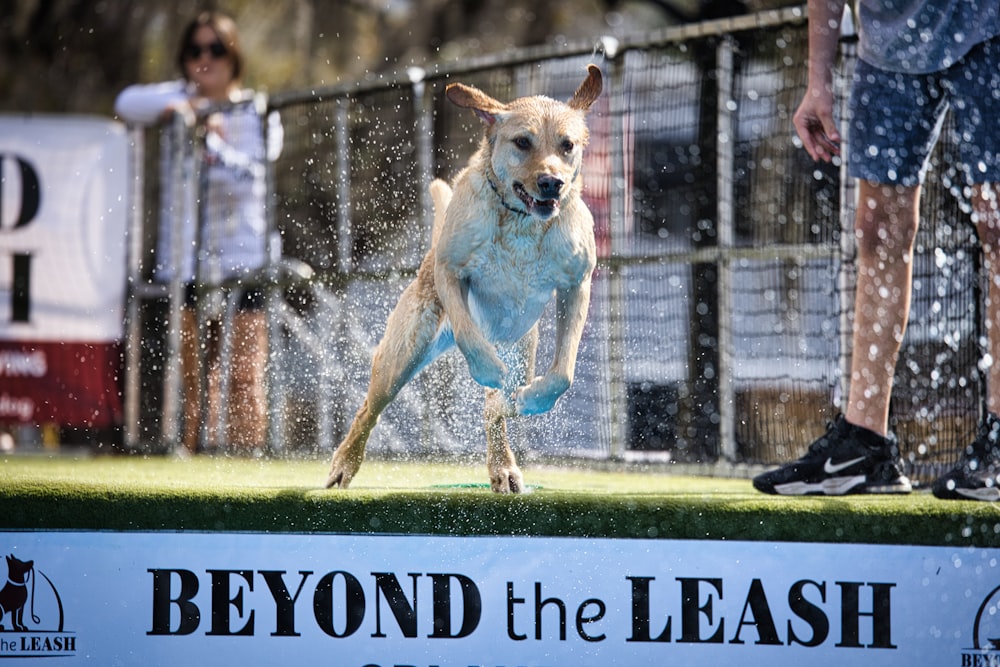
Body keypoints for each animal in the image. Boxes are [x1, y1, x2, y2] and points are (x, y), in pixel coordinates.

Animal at [326, 65, 600, 494]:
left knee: (498, 409)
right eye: (522, 142)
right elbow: (472, 337)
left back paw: (503, 463)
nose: (552, 182)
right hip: (404, 350)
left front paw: (531, 398)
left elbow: (563, 373)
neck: (520, 221)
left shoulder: (577, 282)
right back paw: (344, 464)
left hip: (522, 346)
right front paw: (487, 369)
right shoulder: (451, 272)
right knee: (370, 408)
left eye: (567, 145)